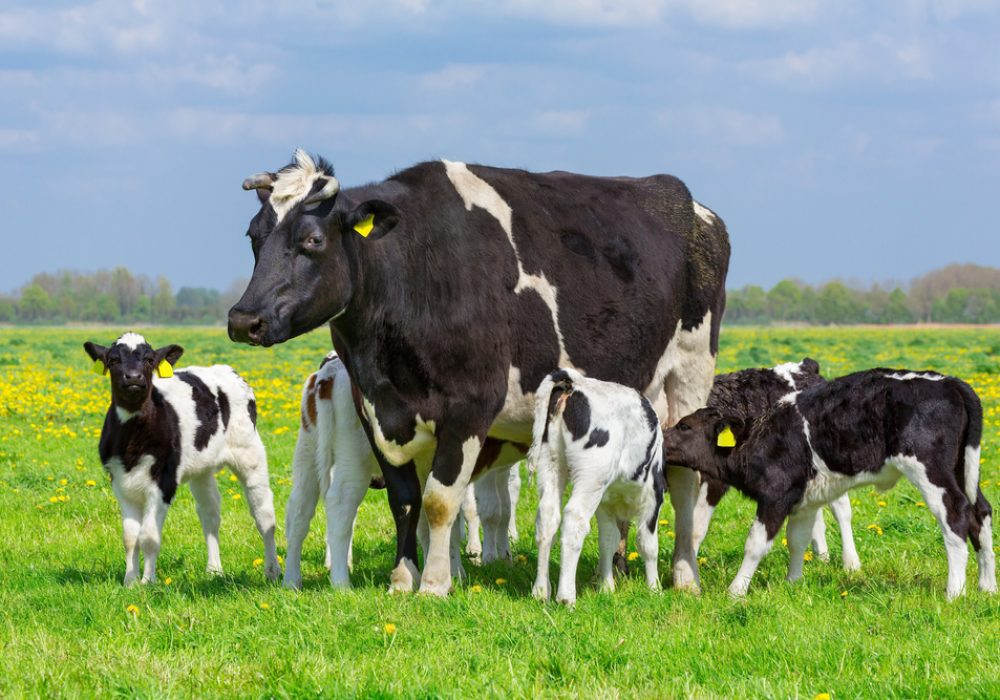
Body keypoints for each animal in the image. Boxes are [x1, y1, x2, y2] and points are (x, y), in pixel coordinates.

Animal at [84, 333, 280, 585]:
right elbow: (130, 537)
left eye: (149, 359)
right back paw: (214, 570)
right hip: (202, 469)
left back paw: (273, 570)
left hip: (250, 454)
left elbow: (148, 536)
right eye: (113, 360)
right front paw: (130, 581)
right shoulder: (119, 481)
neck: (132, 439)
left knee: (263, 514)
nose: (134, 377)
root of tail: (227, 370)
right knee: (210, 513)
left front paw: (147, 582)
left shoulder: (164, 481)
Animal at [229, 150, 730, 596]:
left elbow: (438, 501)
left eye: (313, 240)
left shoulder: (469, 408)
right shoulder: (375, 411)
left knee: (685, 480)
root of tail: (689, 203)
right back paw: (618, 570)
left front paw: (433, 585)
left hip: (689, 376)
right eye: (253, 236)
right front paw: (403, 578)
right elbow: (404, 499)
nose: (243, 319)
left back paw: (685, 576)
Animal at [662, 369, 996, 600]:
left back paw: (954, 592)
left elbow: (756, 544)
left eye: (684, 425)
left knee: (956, 514)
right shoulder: (804, 500)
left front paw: (735, 591)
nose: (661, 438)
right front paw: (793, 583)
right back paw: (987, 586)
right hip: (962, 468)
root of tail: (949, 381)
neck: (761, 437)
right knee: (980, 512)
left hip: (930, 471)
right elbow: (797, 539)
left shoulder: (775, 495)